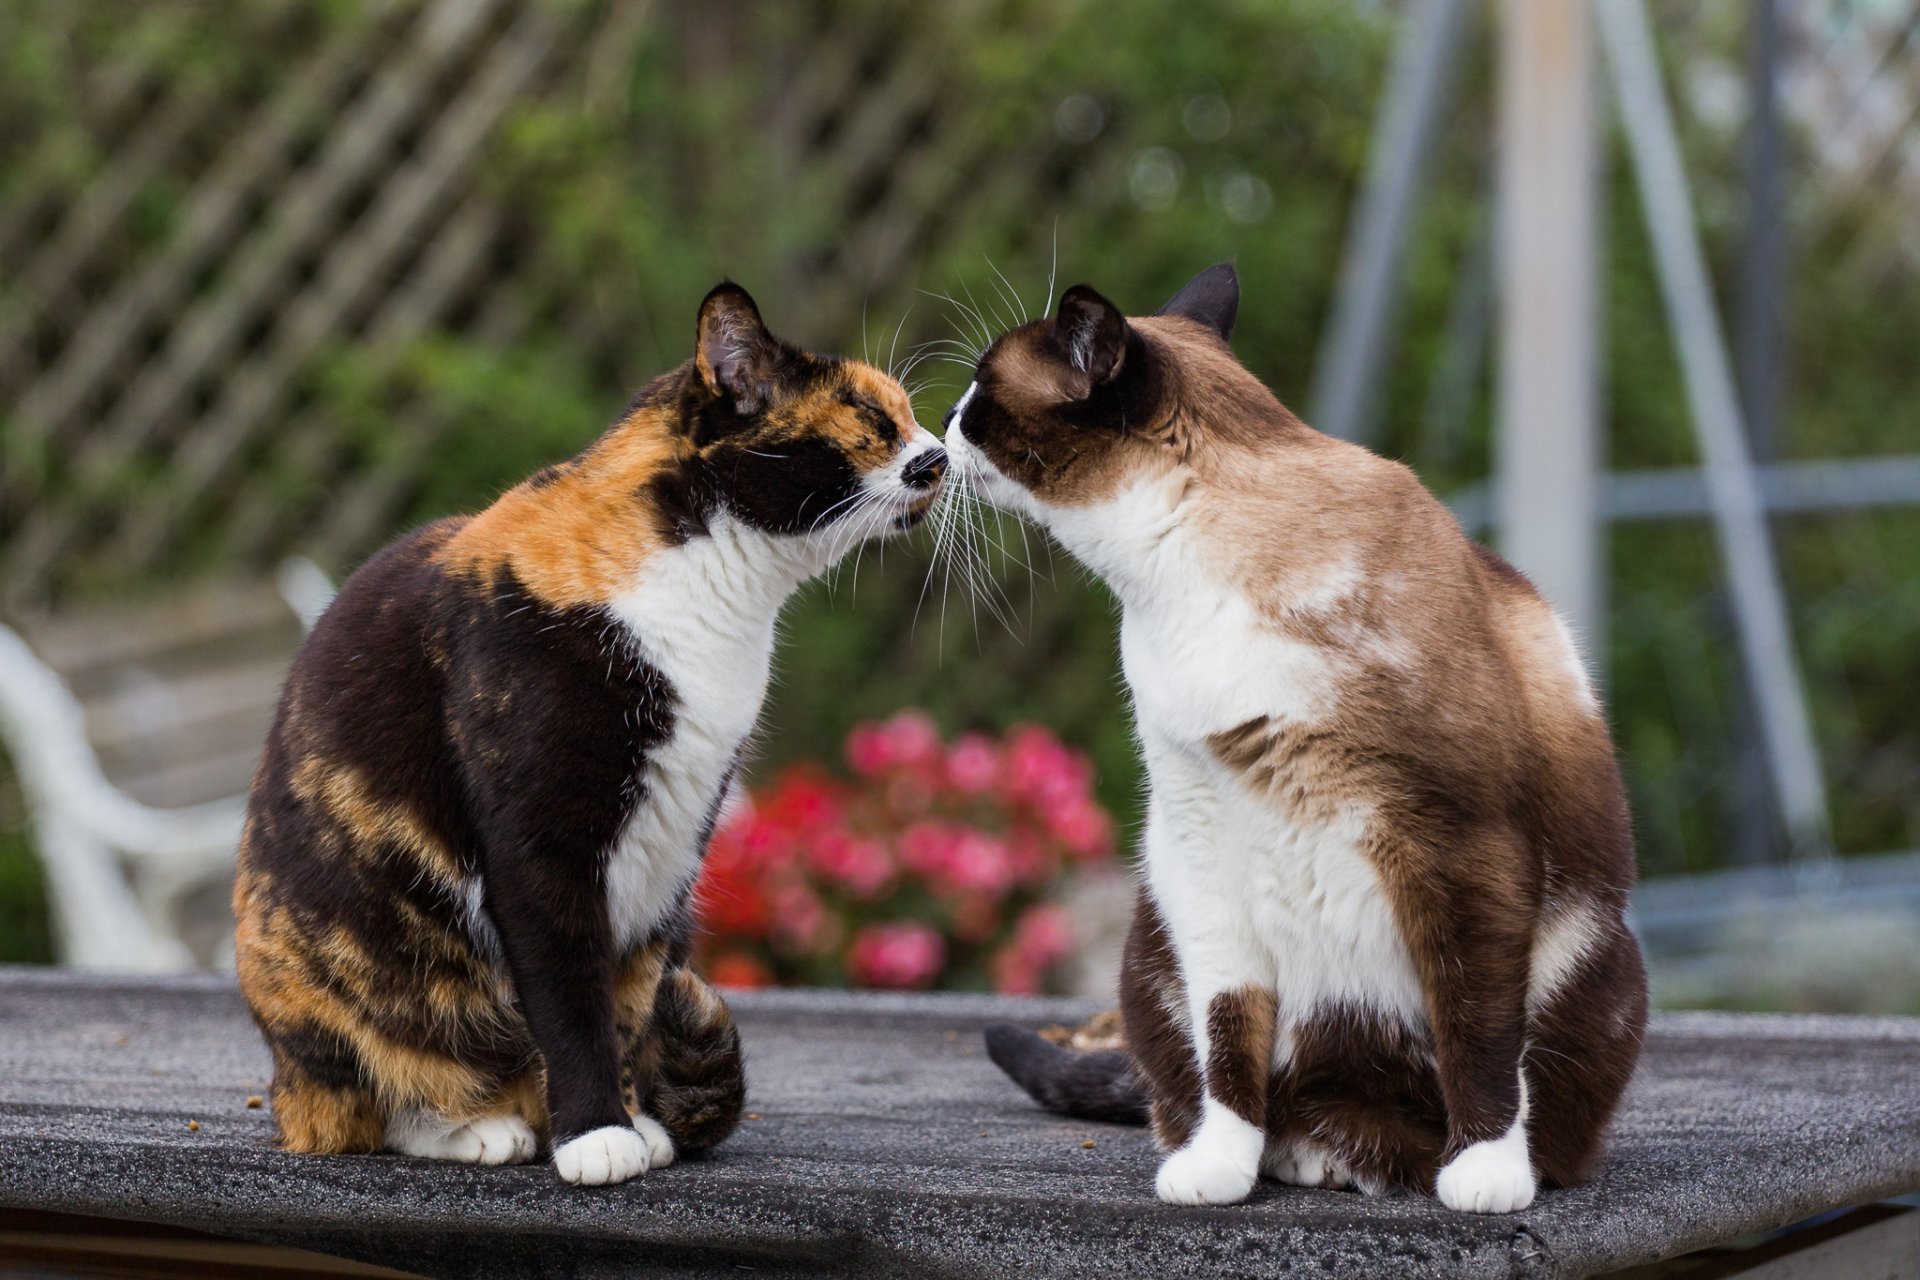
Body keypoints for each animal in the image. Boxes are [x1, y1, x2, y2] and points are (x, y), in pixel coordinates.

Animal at [232, 285, 944, 1189]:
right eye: (872, 417)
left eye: (909, 416)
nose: (939, 455)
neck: (713, 587)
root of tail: (281, 1085)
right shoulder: (542, 847)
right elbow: (572, 995)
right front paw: (596, 1135)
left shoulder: (673, 843)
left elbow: (628, 999)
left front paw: (634, 1120)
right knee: (372, 1100)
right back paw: (481, 1128)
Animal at [952, 262, 1643, 1212]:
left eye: (981, 390)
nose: (940, 427)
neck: (1181, 576)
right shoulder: (1198, 832)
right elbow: (1228, 1035)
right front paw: (1219, 1168)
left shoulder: (1458, 841)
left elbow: (1477, 1031)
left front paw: (1485, 1174)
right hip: (1156, 926)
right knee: (1221, 1088)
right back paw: (1307, 1153)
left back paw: (1400, 1161)